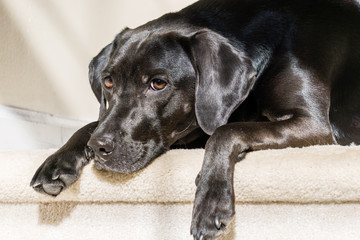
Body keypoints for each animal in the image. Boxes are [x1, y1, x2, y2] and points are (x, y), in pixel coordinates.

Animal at [31, 0, 360, 238]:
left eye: (158, 84)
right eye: (109, 81)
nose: (99, 148)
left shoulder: (312, 125)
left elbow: (226, 131)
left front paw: (210, 200)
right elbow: (91, 124)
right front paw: (56, 162)